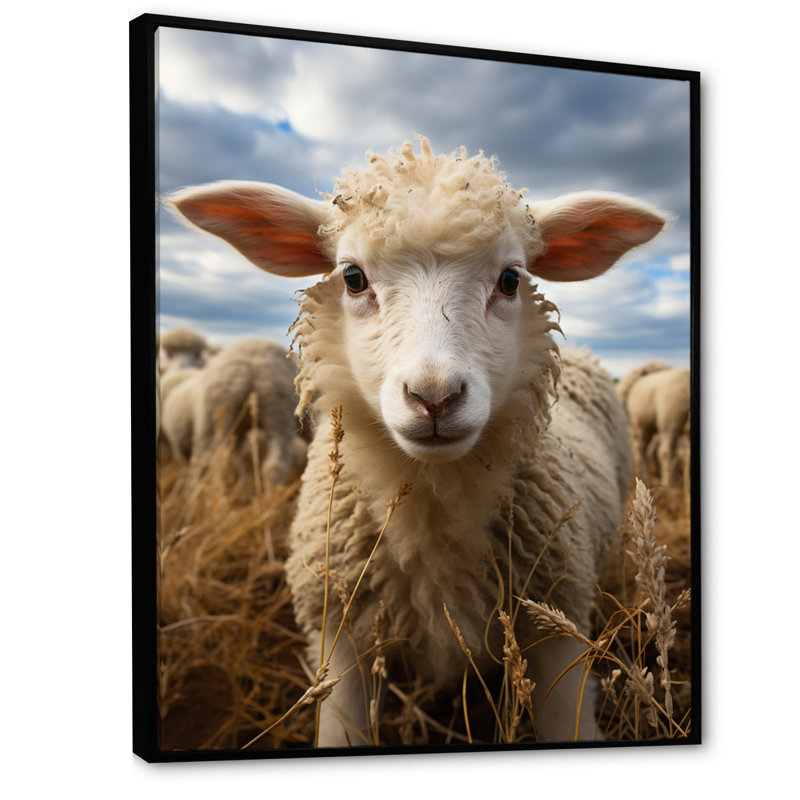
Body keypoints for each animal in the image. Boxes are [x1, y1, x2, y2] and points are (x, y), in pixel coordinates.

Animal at [160, 338, 300, 491]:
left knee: (211, 465)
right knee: (273, 466)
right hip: (278, 414)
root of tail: (253, 365)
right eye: (169, 355)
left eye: (197, 354)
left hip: (215, 421)